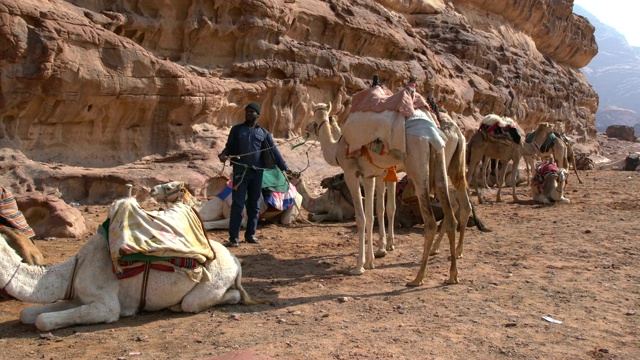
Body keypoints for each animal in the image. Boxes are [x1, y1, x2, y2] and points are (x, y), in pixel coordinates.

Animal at [0, 198, 262, 330]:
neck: (73, 270)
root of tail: (235, 261)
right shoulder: (78, 296)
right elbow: (28, 313)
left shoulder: (105, 304)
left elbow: (43, 321)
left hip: (212, 282)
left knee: (203, 300)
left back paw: (177, 306)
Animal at [306, 102, 460, 286]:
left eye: (315, 119)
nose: (307, 127)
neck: (338, 148)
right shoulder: (370, 175)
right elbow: (375, 214)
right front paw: (373, 258)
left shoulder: (353, 173)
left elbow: (364, 217)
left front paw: (360, 265)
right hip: (440, 162)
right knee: (451, 214)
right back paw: (452, 275)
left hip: (418, 166)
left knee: (430, 221)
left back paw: (418, 278)